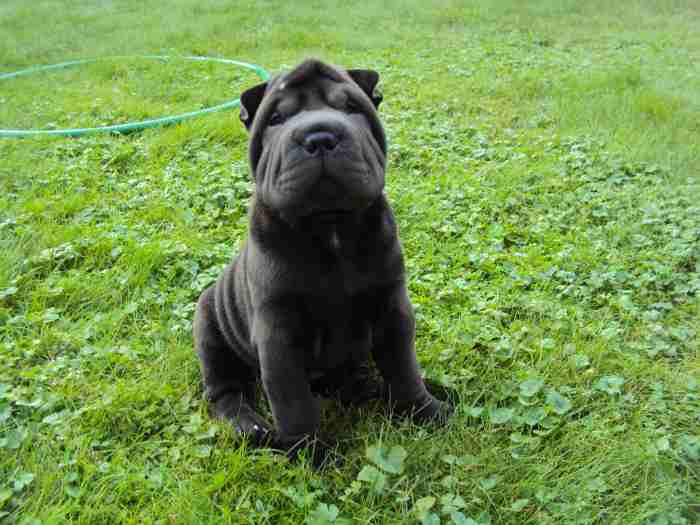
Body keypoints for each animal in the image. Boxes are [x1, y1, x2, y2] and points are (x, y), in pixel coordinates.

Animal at [194, 57, 452, 458]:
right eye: (276, 119)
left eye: (351, 108)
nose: (319, 136)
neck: (330, 228)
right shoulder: (279, 337)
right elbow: (294, 403)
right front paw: (310, 456)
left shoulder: (392, 309)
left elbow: (404, 368)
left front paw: (426, 411)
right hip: (208, 327)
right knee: (225, 391)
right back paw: (252, 426)